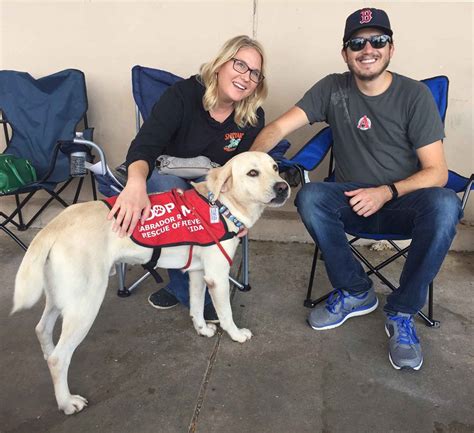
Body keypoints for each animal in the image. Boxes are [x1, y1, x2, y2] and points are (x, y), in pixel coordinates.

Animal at [12, 151, 288, 412]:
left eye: (275, 167)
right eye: (252, 173)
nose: (283, 187)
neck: (221, 205)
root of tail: (53, 226)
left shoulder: (198, 274)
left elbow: (197, 306)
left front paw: (201, 329)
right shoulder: (218, 277)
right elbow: (227, 314)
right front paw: (236, 335)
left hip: (61, 297)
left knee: (42, 330)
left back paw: (47, 356)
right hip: (85, 303)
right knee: (59, 359)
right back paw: (67, 402)